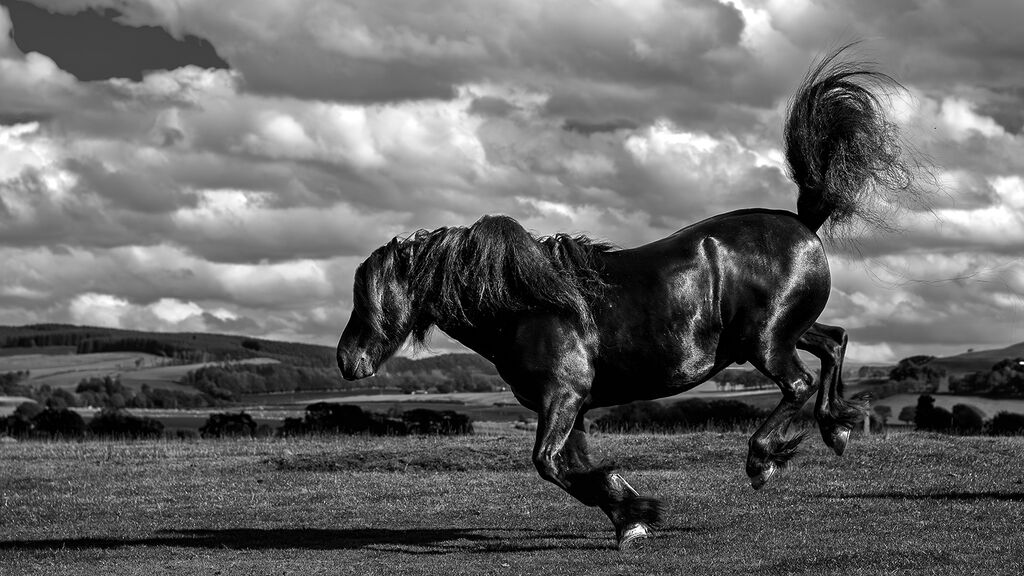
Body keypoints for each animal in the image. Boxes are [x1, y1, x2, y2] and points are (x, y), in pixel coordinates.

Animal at [336, 45, 918, 550]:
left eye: (368, 297)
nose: (347, 360)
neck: (528, 309)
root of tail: (802, 222)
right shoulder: (570, 405)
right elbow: (574, 466)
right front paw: (628, 513)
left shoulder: (563, 397)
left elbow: (550, 464)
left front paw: (634, 512)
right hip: (782, 332)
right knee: (834, 342)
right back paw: (837, 428)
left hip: (767, 342)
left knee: (797, 382)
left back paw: (763, 460)